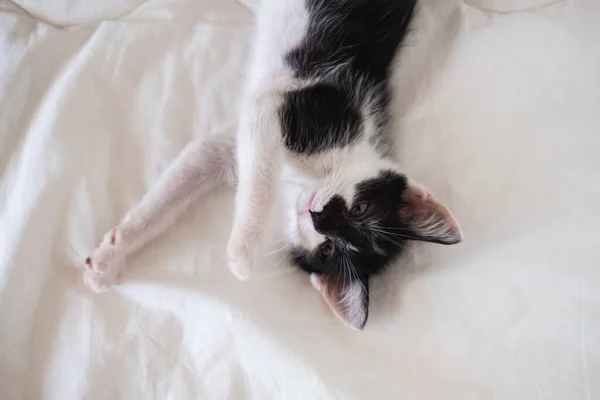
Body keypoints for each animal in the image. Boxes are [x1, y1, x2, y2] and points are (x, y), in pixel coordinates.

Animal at [84, 0, 460, 332]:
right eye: (361, 208)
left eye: (328, 249)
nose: (318, 216)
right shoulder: (296, 103)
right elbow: (260, 181)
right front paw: (241, 251)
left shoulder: (239, 136)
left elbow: (187, 176)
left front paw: (109, 256)